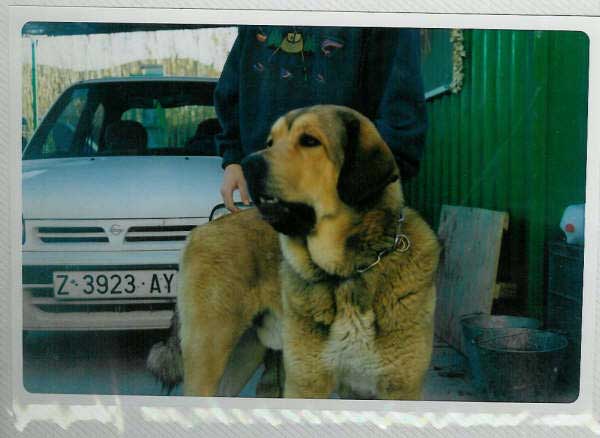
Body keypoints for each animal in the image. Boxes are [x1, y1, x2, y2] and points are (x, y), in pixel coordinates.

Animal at [149, 106, 440, 400]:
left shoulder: (398, 389)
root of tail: (201, 230)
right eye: (270, 142)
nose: (247, 164)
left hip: (245, 352)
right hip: (208, 354)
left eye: (309, 140)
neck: (348, 273)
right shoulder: (306, 383)